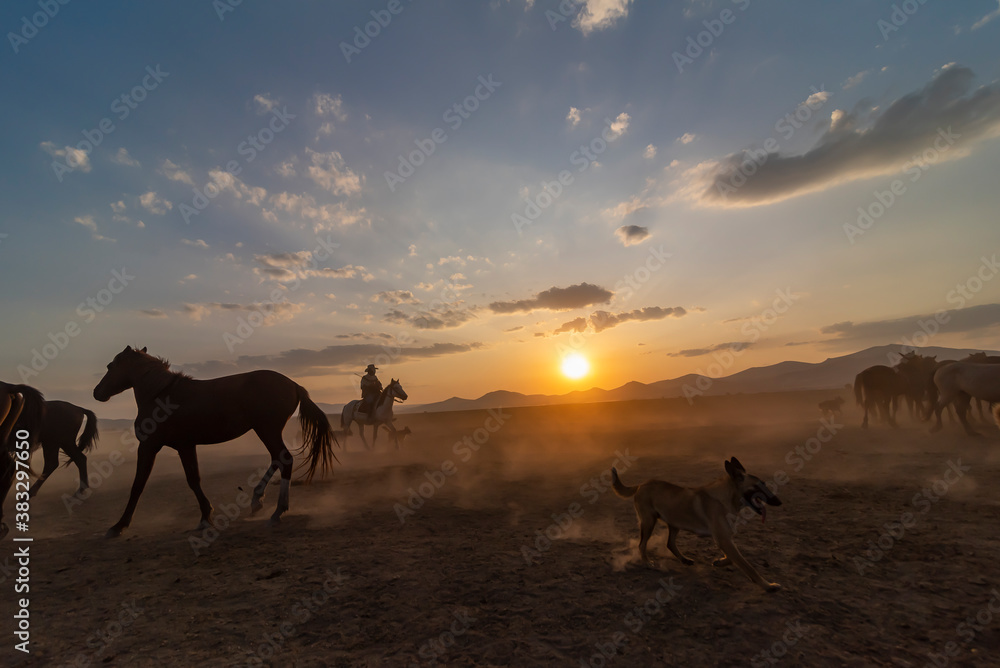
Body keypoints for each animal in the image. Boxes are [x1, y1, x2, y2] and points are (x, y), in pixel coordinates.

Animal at [93, 346, 338, 537]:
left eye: (110, 366)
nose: (97, 393)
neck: (160, 396)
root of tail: (294, 385)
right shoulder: (185, 446)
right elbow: (194, 480)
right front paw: (205, 517)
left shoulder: (149, 447)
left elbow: (138, 485)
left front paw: (118, 526)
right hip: (267, 431)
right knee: (277, 460)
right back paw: (257, 500)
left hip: (267, 430)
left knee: (284, 459)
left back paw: (277, 511)